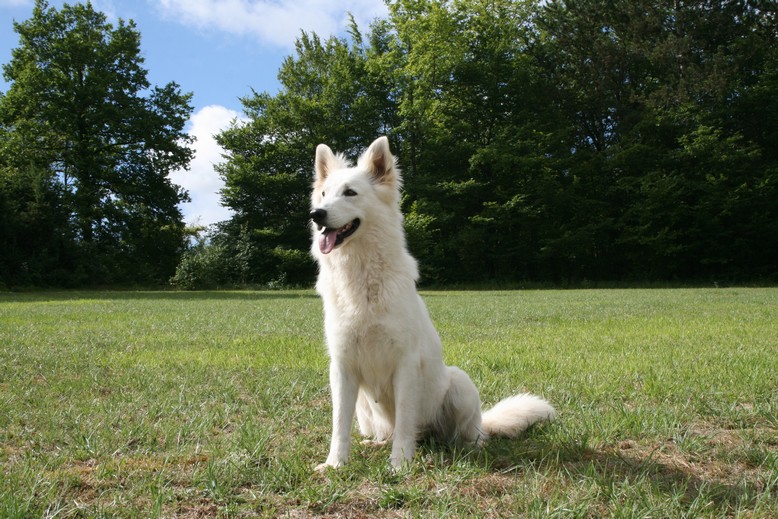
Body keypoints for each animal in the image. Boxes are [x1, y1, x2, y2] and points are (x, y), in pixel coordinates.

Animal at [306, 135, 556, 472]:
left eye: (350, 193)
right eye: (323, 194)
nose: (316, 214)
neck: (362, 279)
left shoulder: (405, 363)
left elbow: (404, 422)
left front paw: (399, 464)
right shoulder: (342, 368)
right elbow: (339, 426)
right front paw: (335, 464)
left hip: (459, 382)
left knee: (469, 435)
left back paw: (466, 446)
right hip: (365, 408)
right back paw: (378, 443)